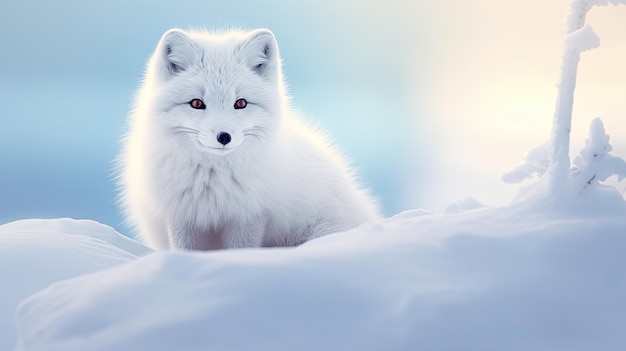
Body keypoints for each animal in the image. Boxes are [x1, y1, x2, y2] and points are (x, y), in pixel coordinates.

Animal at [119, 29, 378, 250]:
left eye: (241, 103)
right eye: (197, 103)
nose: (224, 136)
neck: (213, 179)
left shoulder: (250, 215)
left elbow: (241, 249)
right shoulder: (181, 215)